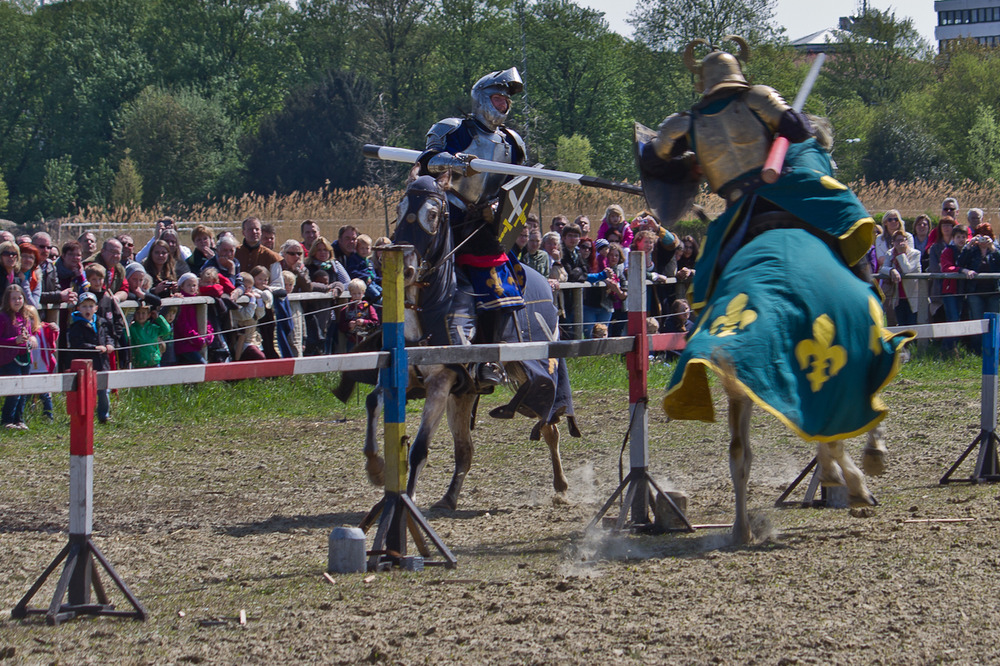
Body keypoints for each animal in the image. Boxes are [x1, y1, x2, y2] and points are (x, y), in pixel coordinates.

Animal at [334, 171, 580, 508]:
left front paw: (408, 499)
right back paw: (449, 498)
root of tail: (547, 284)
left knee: (548, 424)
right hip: (464, 394)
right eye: (398, 210)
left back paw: (561, 486)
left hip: (533, 367)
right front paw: (376, 469)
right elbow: (372, 403)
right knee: (466, 449)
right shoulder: (402, 377)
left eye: (433, 215)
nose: (406, 268)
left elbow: (419, 448)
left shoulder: (440, 385)